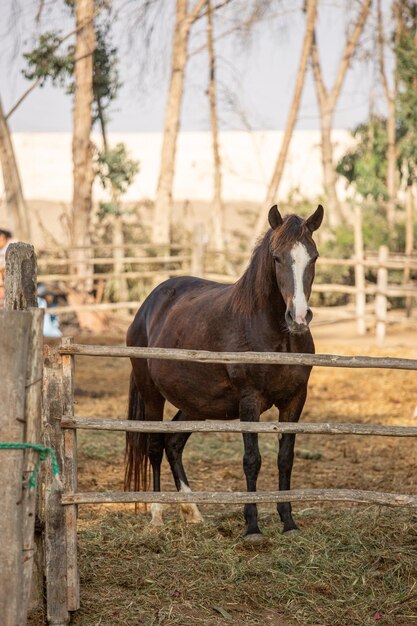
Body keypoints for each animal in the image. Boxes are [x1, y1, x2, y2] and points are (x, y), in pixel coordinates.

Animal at [125, 205, 324, 540]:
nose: (298, 318)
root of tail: (148, 305)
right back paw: (156, 515)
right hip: (152, 395)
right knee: (153, 447)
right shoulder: (249, 402)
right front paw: (252, 527)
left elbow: (285, 459)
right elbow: (252, 460)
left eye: (314, 256)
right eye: (276, 257)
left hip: (194, 405)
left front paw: (288, 522)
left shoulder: (295, 400)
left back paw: (191, 511)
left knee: (172, 445)